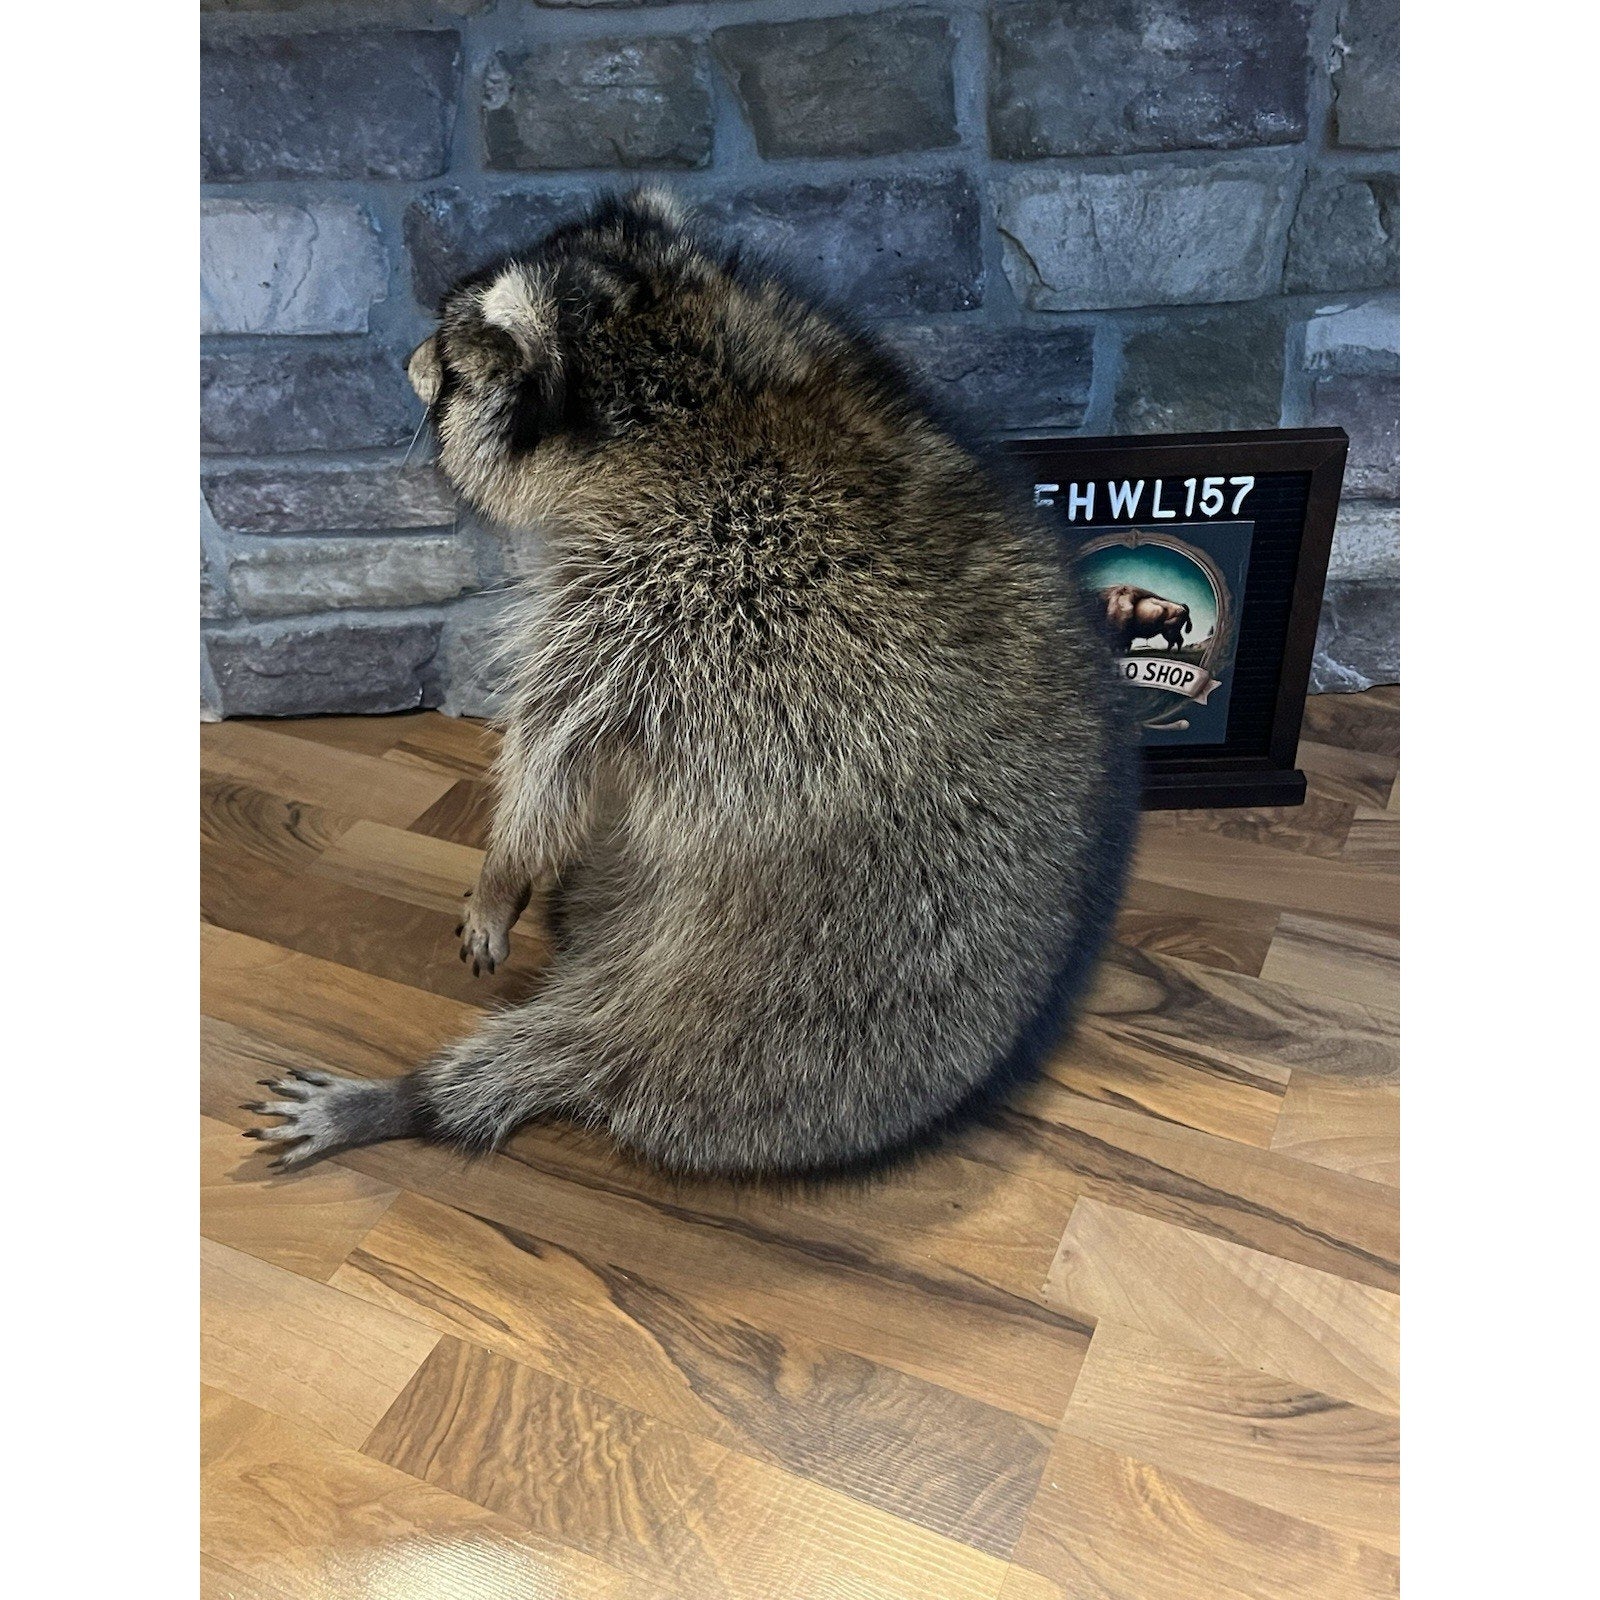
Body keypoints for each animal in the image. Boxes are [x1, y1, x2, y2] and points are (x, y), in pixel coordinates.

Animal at [246, 190, 1137, 1179]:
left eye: (446, 359)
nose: (404, 361)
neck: (696, 373)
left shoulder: (676, 583)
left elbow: (554, 749)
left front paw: (502, 871)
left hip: (726, 1025)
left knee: (555, 1053)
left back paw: (419, 1097)